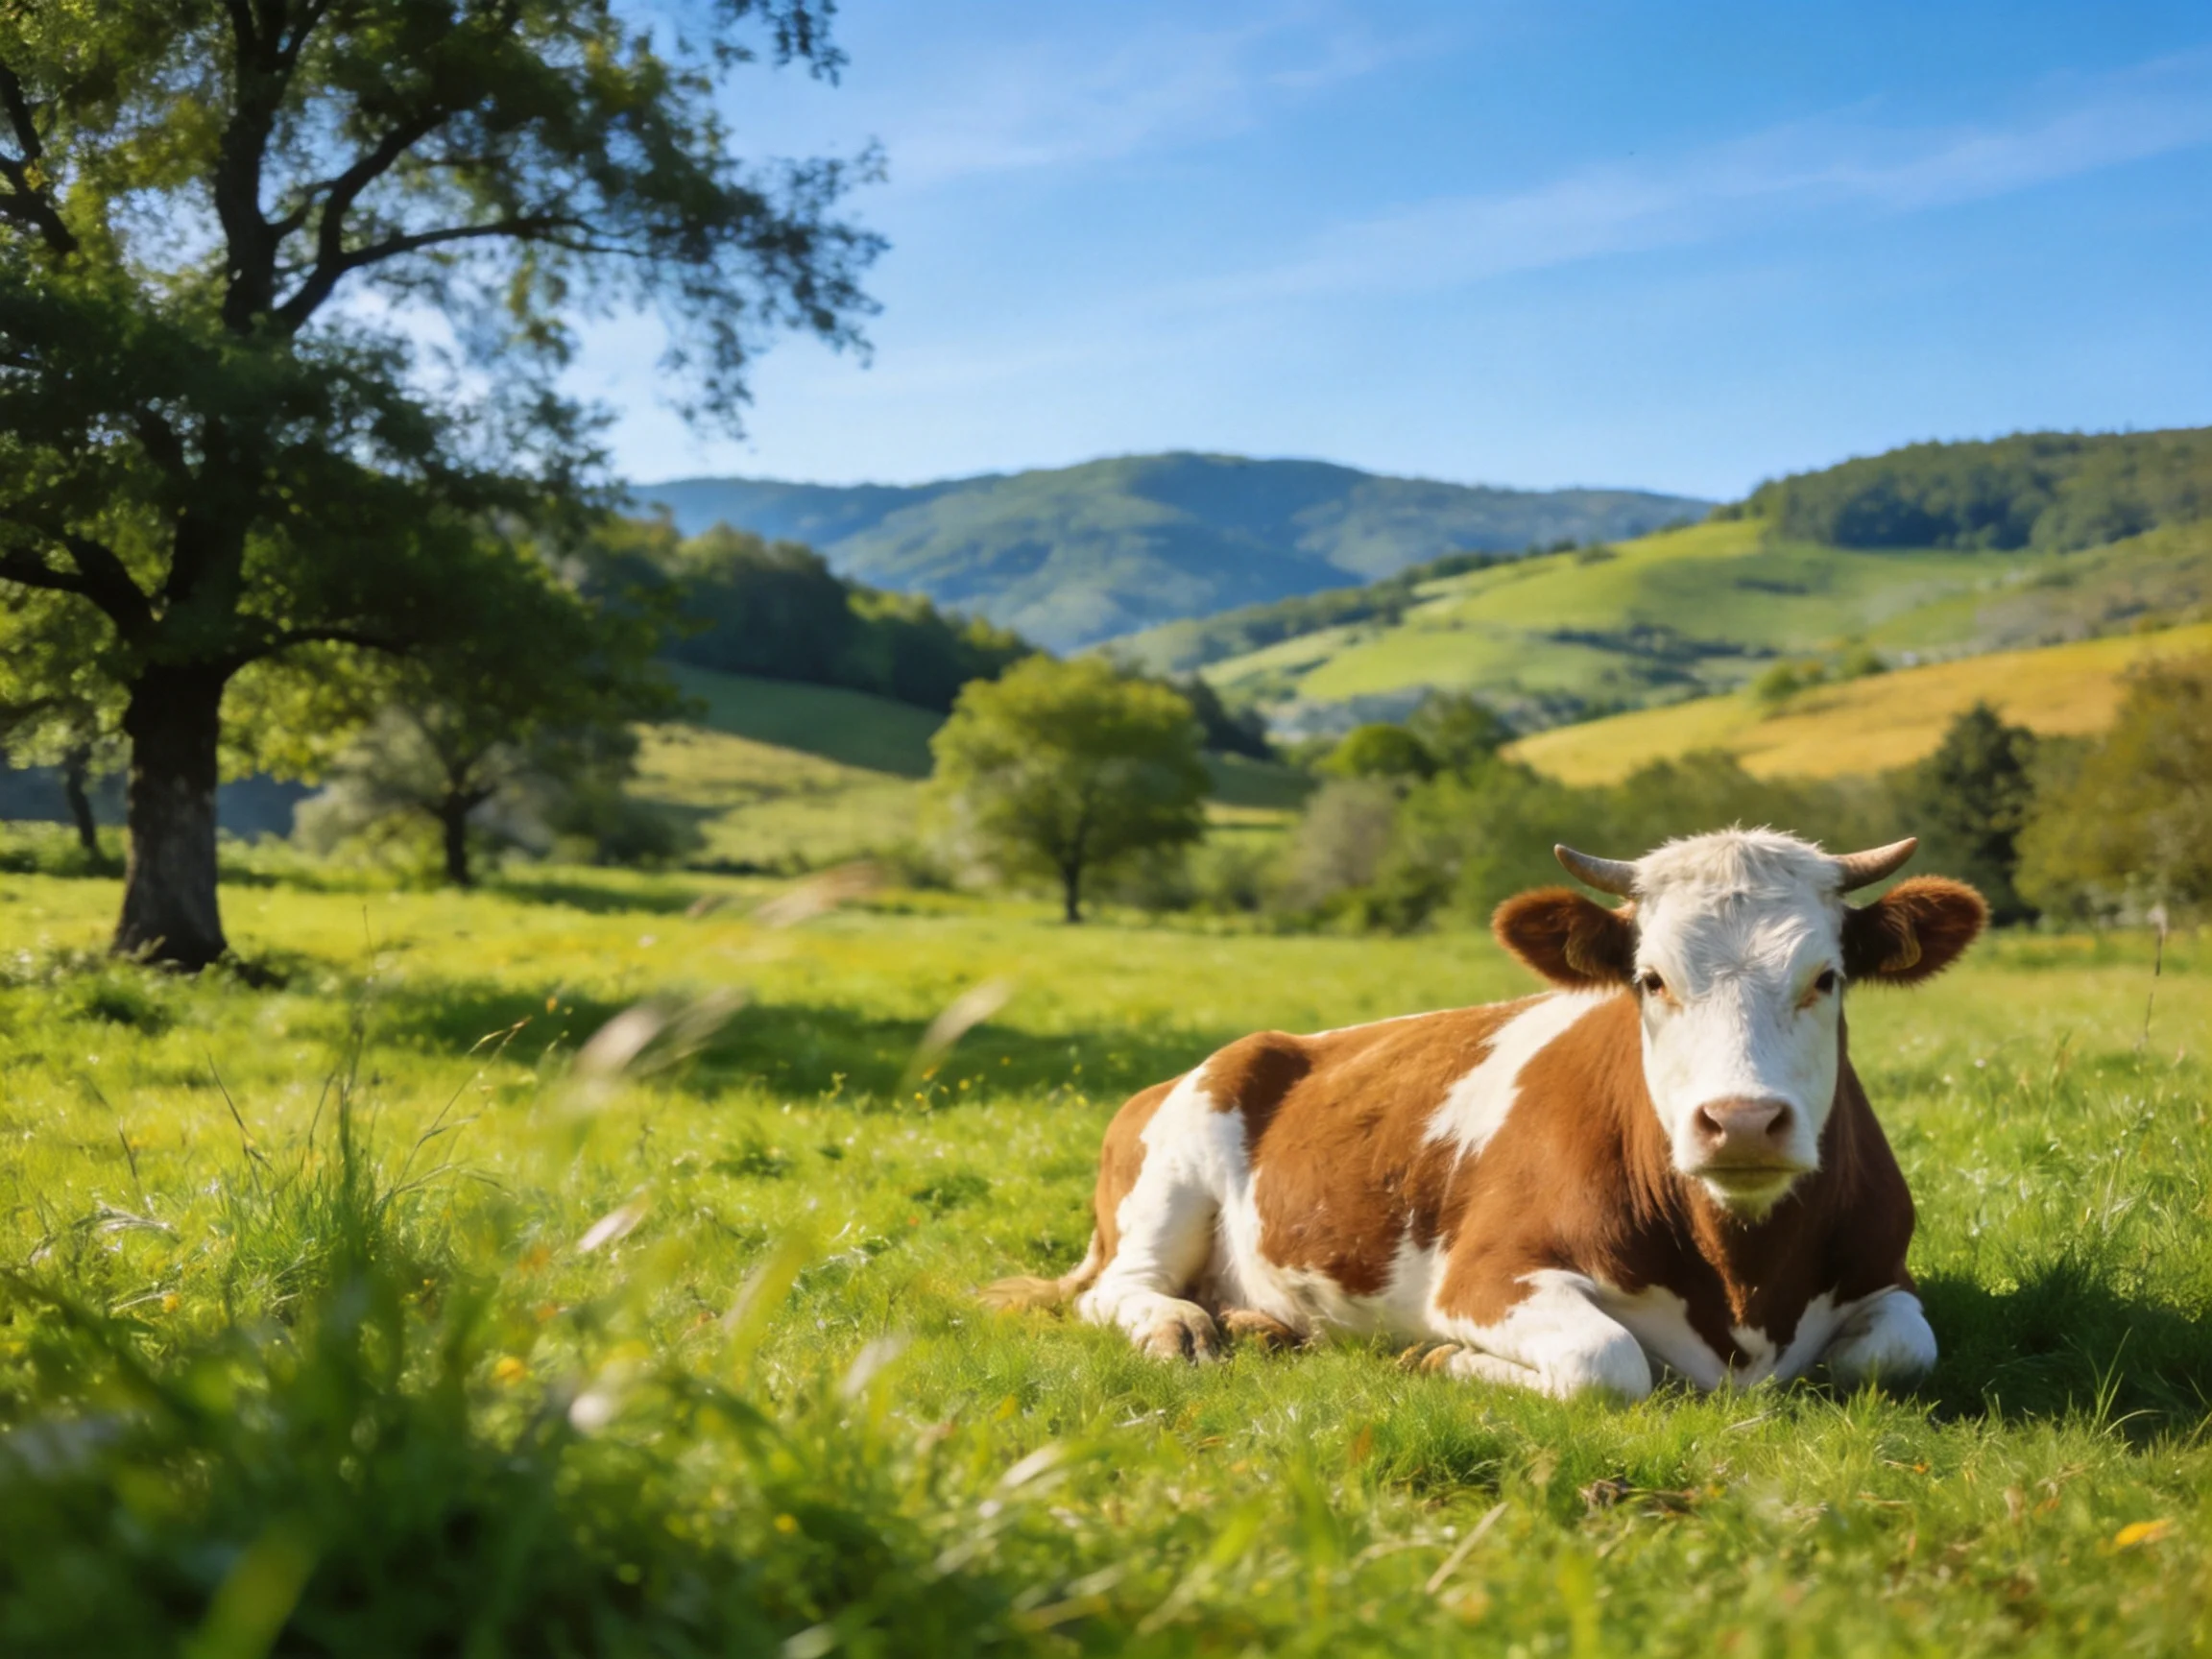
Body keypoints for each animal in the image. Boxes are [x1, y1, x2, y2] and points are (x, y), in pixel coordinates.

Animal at [983, 828, 1986, 1398]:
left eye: (1827, 977)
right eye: (1650, 979)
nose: (1740, 1122)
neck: (1743, 1284)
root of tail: (1255, 1043)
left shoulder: (1887, 1274)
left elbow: (1900, 1352)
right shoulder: (1486, 1274)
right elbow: (1606, 1363)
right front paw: (1436, 1361)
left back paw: (1259, 1324)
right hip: (1171, 1172)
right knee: (1119, 1289)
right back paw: (1181, 1327)